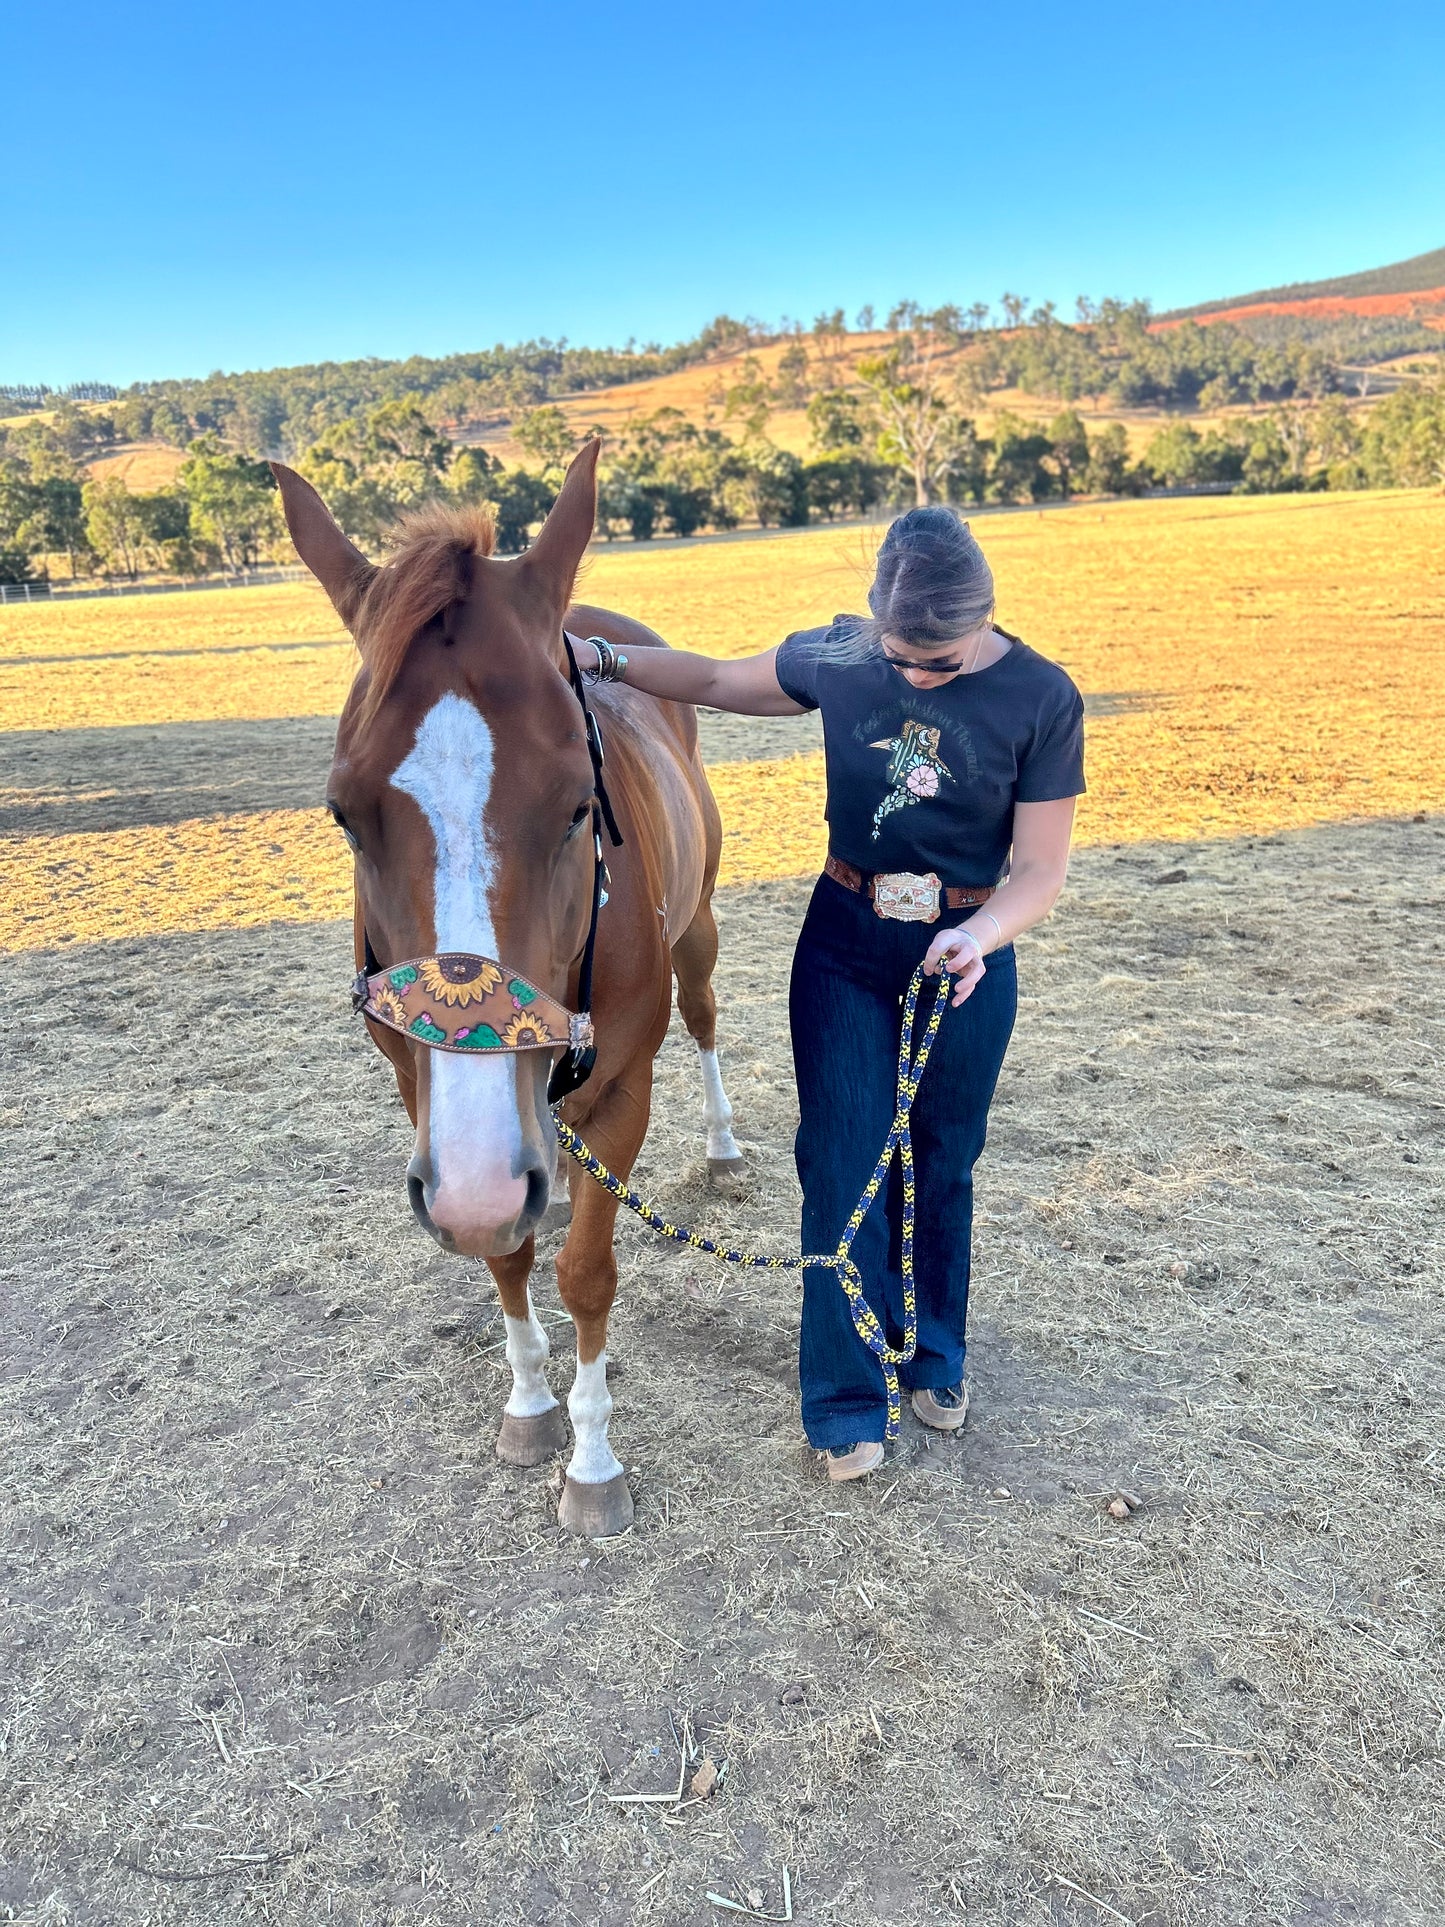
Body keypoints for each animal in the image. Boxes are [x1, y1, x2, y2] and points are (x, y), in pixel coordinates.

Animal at [271, 437, 747, 1533]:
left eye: (579, 803)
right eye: (343, 815)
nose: (491, 1180)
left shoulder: (620, 1087)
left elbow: (586, 1272)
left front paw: (594, 1461)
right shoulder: (424, 1098)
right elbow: (505, 1253)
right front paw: (531, 1403)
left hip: (696, 929)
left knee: (704, 1020)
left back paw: (718, 1144)